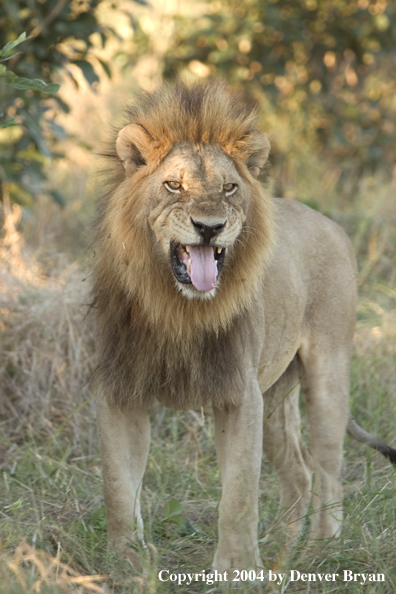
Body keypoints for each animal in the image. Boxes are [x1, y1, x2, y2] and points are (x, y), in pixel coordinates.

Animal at [93, 80, 396, 568]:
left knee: (328, 470)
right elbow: (118, 486)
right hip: (274, 396)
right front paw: (127, 562)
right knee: (299, 470)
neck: (177, 308)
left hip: (327, 376)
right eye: (173, 185)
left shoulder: (239, 394)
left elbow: (238, 494)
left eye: (230, 187)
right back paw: (281, 549)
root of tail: (331, 223)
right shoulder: (121, 390)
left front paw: (237, 568)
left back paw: (319, 551)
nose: (209, 227)